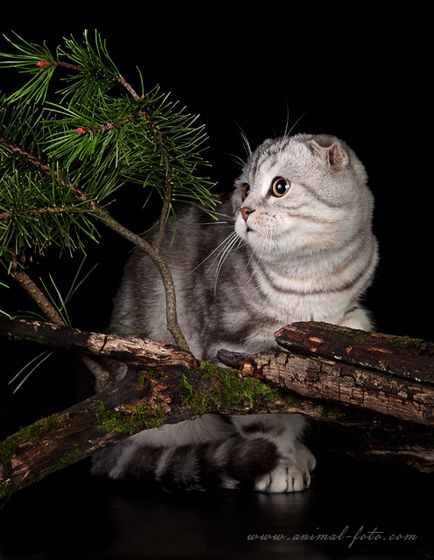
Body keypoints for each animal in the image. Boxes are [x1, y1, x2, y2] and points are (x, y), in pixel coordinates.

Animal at [90, 133, 376, 492]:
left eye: (280, 187)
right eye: (244, 187)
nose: (244, 209)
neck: (311, 277)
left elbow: (350, 326)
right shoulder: (235, 349)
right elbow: (266, 424)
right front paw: (281, 464)